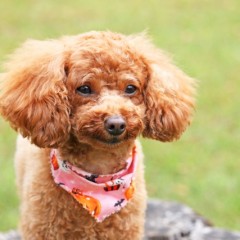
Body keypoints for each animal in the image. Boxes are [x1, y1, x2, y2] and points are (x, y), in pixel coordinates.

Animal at [0, 31, 195, 239]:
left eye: (130, 88)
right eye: (84, 89)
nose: (116, 124)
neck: (99, 171)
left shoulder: (125, 229)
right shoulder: (43, 228)